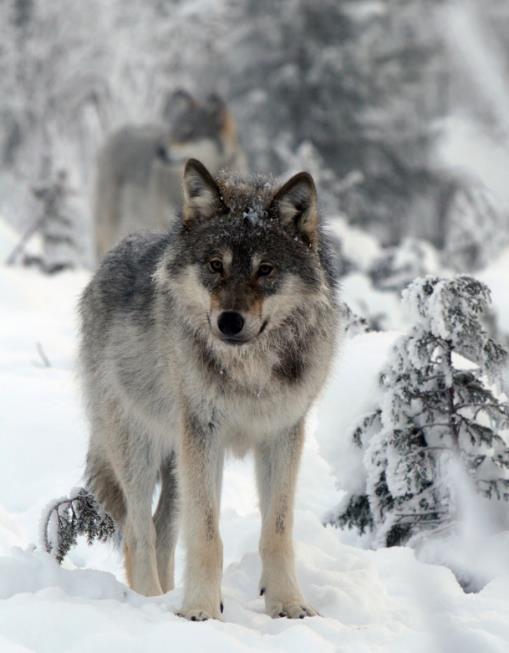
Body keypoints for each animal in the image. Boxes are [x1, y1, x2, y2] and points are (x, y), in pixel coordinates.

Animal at [79, 159, 340, 620]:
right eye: (216, 265)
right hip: (140, 449)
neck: (249, 371)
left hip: (175, 462)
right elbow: (206, 536)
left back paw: (165, 595)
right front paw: (199, 611)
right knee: (138, 532)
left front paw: (288, 604)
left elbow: (277, 532)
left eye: (265, 269)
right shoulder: (204, 435)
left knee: (162, 530)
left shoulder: (282, 435)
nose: (230, 321)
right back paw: (151, 602)